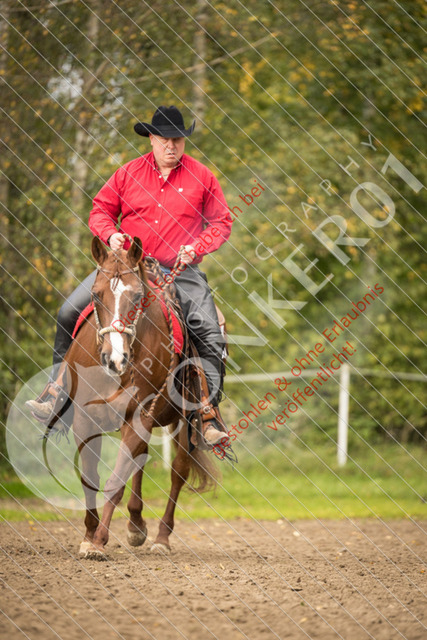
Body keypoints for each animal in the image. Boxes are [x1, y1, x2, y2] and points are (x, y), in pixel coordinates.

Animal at [61, 236, 218, 559]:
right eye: (96, 295)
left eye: (137, 297)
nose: (115, 358)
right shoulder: (85, 419)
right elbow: (89, 477)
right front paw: (89, 535)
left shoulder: (138, 417)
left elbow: (115, 480)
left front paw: (99, 541)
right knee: (140, 461)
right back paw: (135, 524)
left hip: (183, 424)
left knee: (178, 473)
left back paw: (161, 537)